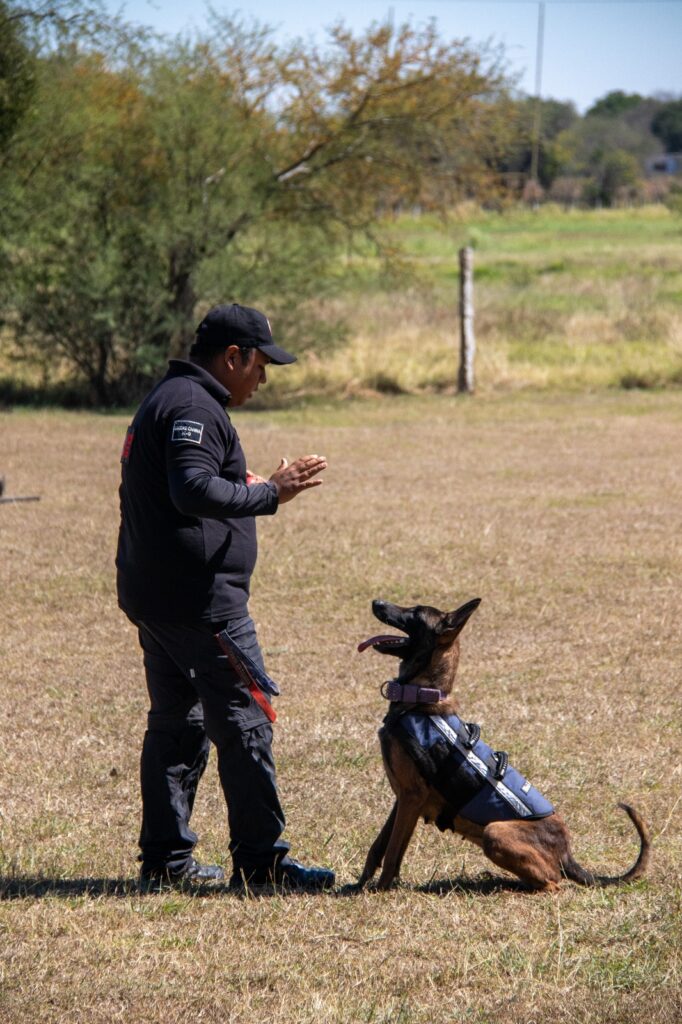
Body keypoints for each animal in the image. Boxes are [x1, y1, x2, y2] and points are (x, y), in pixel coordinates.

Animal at [356, 598, 647, 892]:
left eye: (414, 613)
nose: (377, 602)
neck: (421, 699)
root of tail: (566, 853)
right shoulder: (402, 798)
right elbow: (380, 846)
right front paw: (360, 884)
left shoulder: (411, 797)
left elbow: (393, 851)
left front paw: (379, 891)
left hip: (494, 832)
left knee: (553, 883)